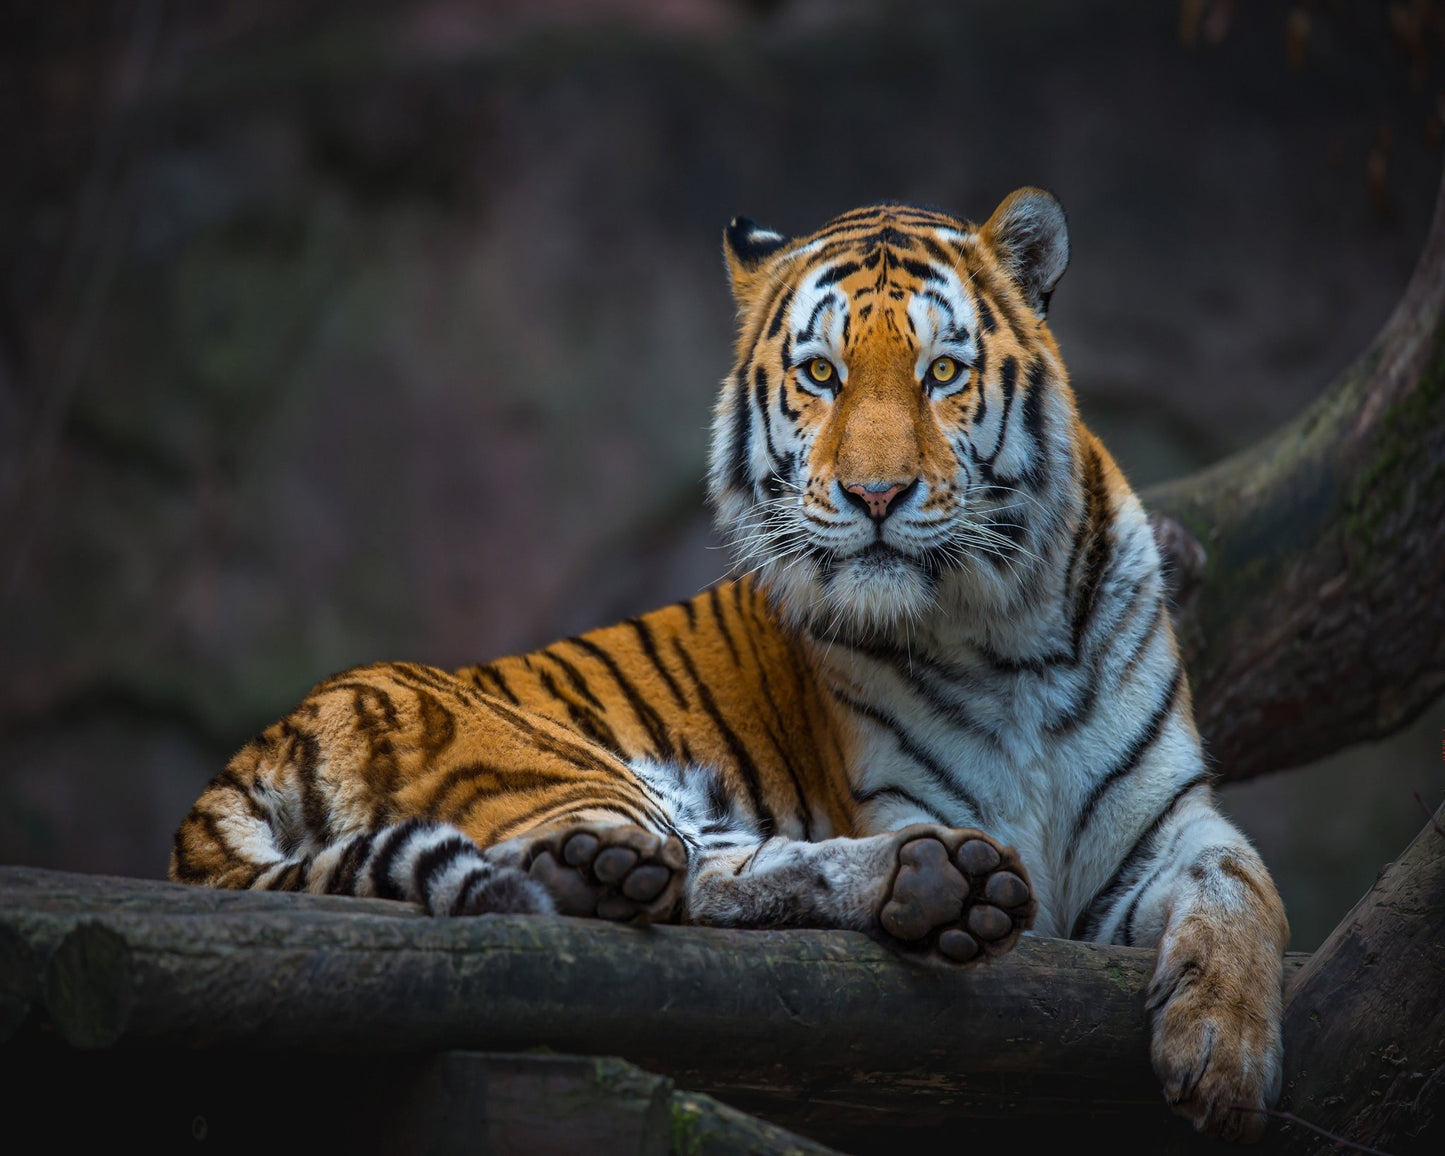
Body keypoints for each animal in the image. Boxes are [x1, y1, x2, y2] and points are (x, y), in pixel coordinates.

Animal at [171, 189, 1289, 1142]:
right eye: (821, 374)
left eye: (941, 373)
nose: (875, 495)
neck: (1005, 629)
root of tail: (265, 742)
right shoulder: (910, 796)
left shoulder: (1163, 828)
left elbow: (1246, 887)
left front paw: (1223, 1057)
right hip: (556, 759)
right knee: (646, 879)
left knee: (729, 871)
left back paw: (934, 884)